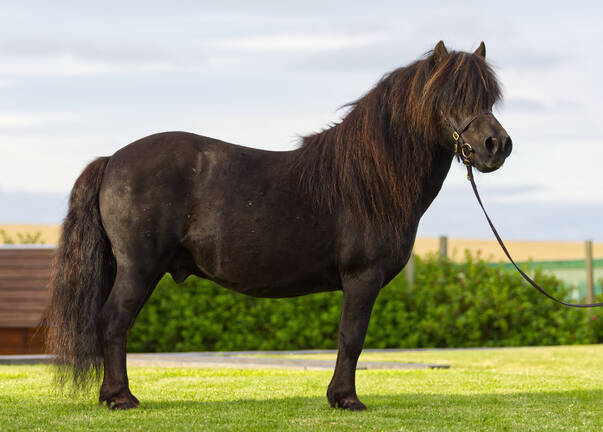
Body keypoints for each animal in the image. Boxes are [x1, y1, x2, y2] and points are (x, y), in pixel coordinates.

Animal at [46, 41, 516, 412]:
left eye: (489, 97)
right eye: (449, 96)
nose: (496, 145)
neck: (368, 179)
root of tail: (113, 159)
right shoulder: (362, 278)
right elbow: (352, 337)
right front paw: (346, 399)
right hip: (139, 268)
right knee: (113, 322)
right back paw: (120, 397)